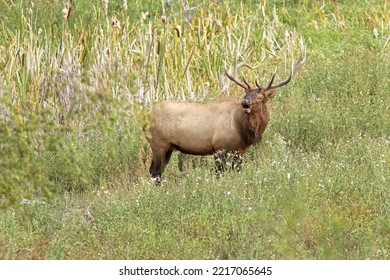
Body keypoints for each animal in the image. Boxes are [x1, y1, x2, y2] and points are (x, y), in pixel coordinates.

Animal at [145, 55, 304, 183]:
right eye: (245, 93)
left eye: (260, 97)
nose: (245, 102)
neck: (242, 129)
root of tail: (145, 118)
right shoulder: (219, 147)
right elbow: (219, 174)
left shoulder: (240, 151)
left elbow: (238, 172)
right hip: (159, 143)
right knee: (154, 172)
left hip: (169, 147)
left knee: (157, 172)